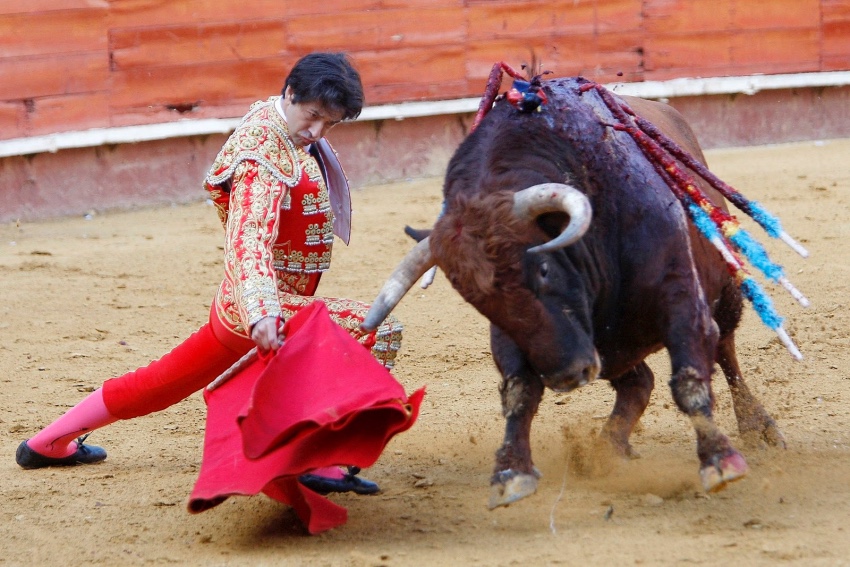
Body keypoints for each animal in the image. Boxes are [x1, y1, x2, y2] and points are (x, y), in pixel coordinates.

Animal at [362, 69, 796, 508]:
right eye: (477, 301)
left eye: (543, 269)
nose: (568, 375)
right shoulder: (518, 336)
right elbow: (519, 391)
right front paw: (511, 472)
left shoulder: (680, 298)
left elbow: (690, 375)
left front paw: (720, 461)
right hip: (613, 346)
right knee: (639, 383)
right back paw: (605, 450)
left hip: (723, 294)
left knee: (725, 352)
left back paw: (758, 427)